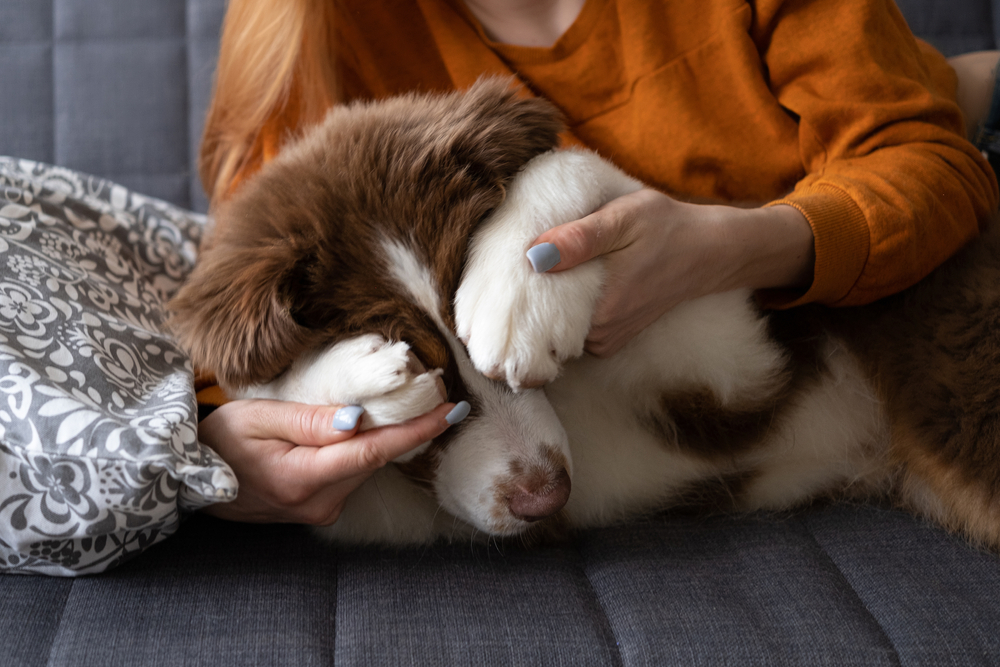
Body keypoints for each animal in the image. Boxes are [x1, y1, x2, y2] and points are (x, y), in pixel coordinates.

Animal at [168, 78, 1000, 548]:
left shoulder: (738, 350)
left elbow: (582, 164)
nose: (548, 499)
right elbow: (245, 394)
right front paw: (354, 378)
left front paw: (514, 291)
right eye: (440, 401)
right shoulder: (381, 506)